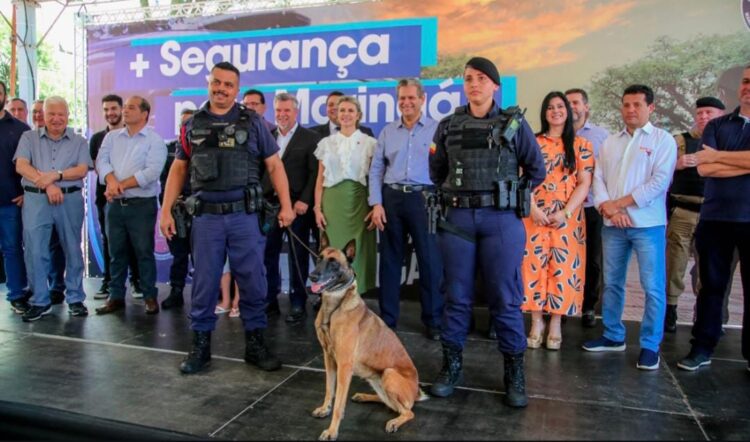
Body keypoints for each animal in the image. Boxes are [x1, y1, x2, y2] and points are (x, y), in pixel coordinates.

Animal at [310, 233, 428, 440]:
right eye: (318, 258)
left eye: (334, 263)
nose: (312, 276)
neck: (334, 307)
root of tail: (415, 393)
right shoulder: (328, 359)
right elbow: (329, 389)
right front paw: (325, 408)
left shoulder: (344, 366)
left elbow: (339, 404)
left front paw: (332, 431)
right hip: (375, 379)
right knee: (389, 403)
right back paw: (364, 396)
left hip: (389, 374)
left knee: (407, 411)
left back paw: (395, 422)